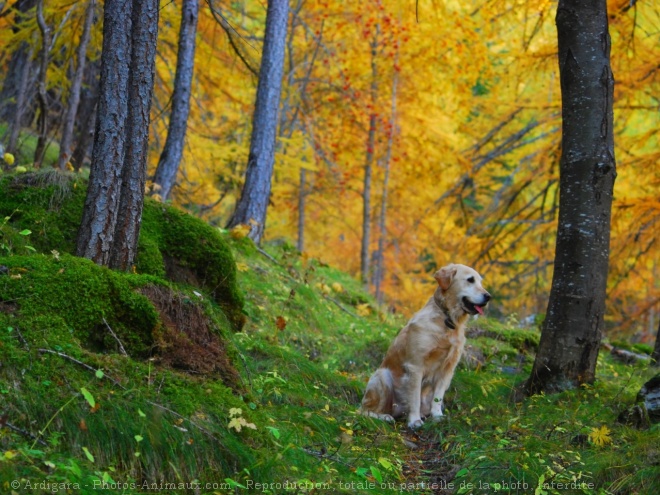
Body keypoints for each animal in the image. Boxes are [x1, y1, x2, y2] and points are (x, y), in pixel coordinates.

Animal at [360, 264, 490, 430]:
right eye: (470, 280)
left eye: (480, 282)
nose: (488, 297)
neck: (446, 319)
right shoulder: (416, 366)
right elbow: (415, 398)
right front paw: (414, 421)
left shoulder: (448, 369)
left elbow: (438, 397)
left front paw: (437, 416)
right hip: (382, 376)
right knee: (363, 410)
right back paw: (385, 417)